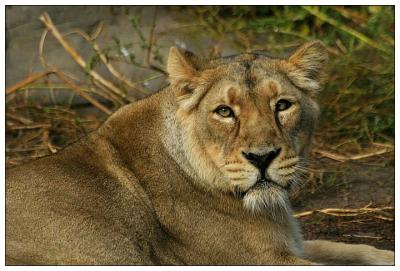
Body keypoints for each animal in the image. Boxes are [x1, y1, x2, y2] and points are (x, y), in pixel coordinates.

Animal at [6, 41, 394, 266]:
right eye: (224, 111)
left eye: (282, 105)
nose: (262, 157)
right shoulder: (258, 260)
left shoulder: (293, 246)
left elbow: (354, 250)